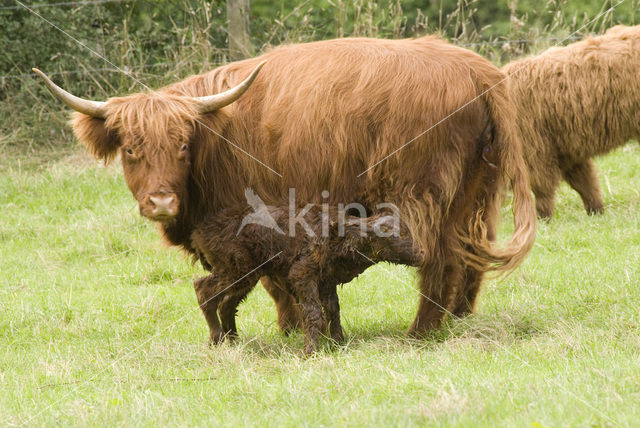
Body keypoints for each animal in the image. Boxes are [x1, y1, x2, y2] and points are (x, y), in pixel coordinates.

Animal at [190, 202, 420, 352]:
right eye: (391, 234)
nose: (421, 252)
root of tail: (199, 233)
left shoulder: (327, 280)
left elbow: (333, 310)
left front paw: (338, 343)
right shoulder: (302, 274)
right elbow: (313, 312)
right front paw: (311, 351)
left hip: (246, 275)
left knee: (226, 303)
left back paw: (232, 340)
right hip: (235, 269)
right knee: (203, 289)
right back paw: (217, 338)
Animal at [502, 24, 640, 217]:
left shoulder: (534, 147)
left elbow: (541, 186)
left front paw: (543, 216)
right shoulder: (568, 152)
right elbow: (586, 183)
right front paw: (596, 210)